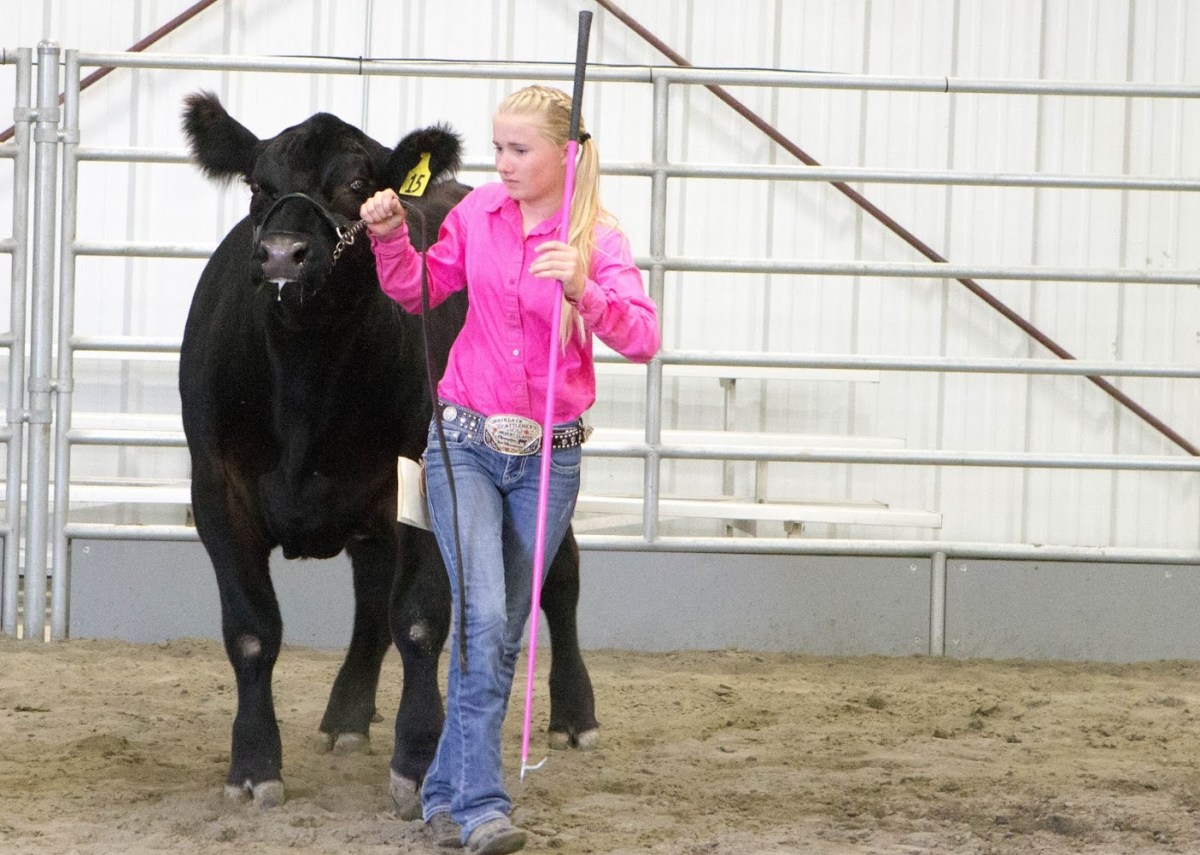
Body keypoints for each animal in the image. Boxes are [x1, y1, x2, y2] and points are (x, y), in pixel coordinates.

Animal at [177, 91, 598, 814]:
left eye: (356, 184)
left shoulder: (432, 476)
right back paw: (346, 714)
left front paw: (420, 757)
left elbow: (422, 621)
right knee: (372, 594)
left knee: (561, 575)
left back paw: (575, 714)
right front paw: (254, 764)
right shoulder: (216, 489)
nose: (283, 254)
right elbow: (253, 630)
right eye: (259, 185)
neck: (304, 375)